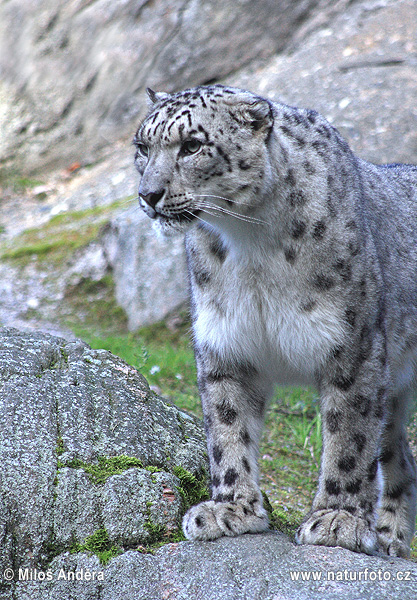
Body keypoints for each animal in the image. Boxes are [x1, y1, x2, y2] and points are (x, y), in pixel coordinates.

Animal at [133, 84, 416, 556]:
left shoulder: (353, 348)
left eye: (191, 146)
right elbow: (228, 428)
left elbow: (350, 437)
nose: (148, 194)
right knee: (399, 455)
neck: (251, 244)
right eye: (142, 148)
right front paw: (231, 509)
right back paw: (390, 537)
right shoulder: (226, 345)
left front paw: (336, 520)